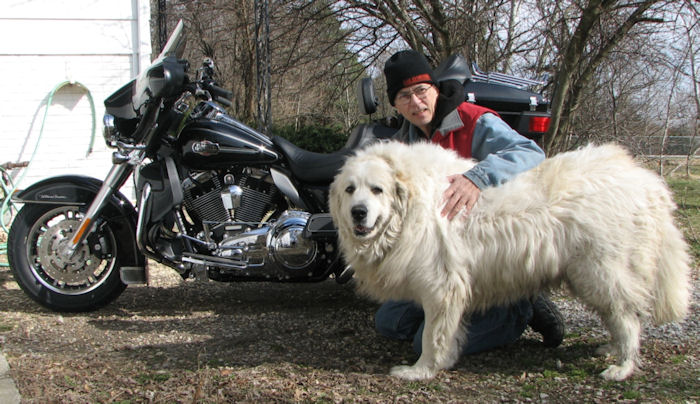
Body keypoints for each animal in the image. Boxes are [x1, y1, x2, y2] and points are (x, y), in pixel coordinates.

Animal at [330, 142, 692, 382]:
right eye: (350, 189)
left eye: (377, 190)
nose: (358, 212)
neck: (411, 209)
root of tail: (646, 182)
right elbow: (447, 332)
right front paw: (444, 360)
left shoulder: (440, 288)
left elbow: (432, 336)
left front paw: (421, 370)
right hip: (591, 275)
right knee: (619, 315)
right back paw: (611, 349)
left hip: (601, 271)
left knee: (628, 318)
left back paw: (622, 366)